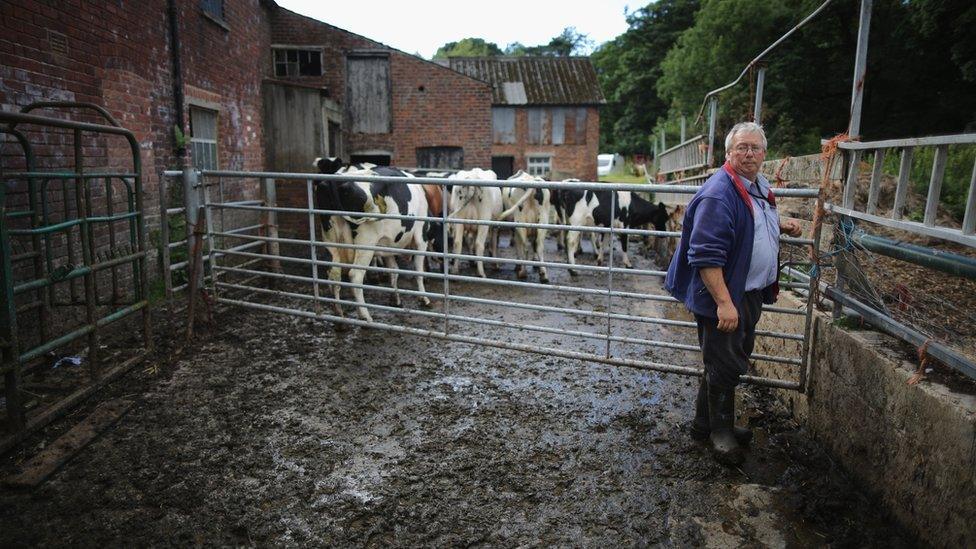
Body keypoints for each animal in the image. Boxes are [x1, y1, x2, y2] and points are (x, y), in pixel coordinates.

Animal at [316, 156, 430, 322]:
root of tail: (335, 181)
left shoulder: (387, 244)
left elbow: (394, 271)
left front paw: (396, 300)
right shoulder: (421, 237)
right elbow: (418, 271)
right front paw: (424, 298)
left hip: (332, 241)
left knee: (334, 274)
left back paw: (339, 315)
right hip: (366, 242)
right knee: (355, 276)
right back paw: (365, 316)